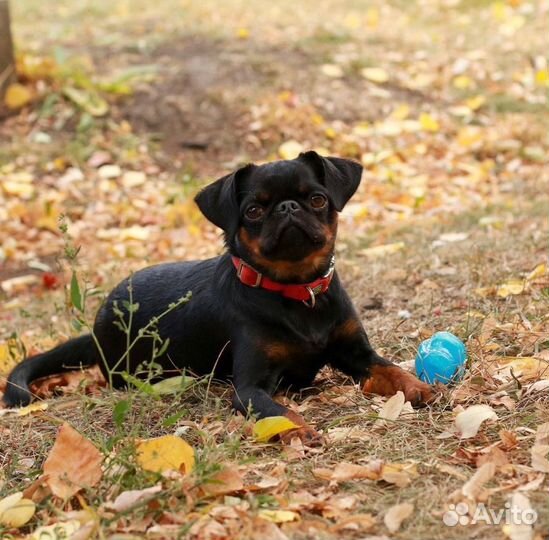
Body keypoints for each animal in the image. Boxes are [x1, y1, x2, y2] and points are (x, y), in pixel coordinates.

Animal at [4, 151, 432, 442]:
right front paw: (300, 429)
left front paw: (418, 386)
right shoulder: (250, 388)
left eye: (317, 200)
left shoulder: (356, 354)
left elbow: (390, 369)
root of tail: (95, 328)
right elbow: (278, 410)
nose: (287, 207)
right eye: (254, 210)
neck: (296, 293)